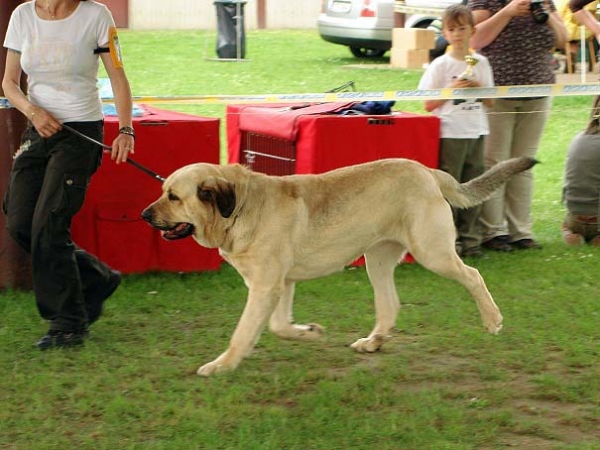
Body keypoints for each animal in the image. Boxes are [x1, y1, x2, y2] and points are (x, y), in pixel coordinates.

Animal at [143, 156, 536, 374]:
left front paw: (221, 365)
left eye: (173, 197)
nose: (145, 214)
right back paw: (373, 342)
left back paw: (492, 319)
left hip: (432, 252)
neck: (239, 207)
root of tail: (428, 171)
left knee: (473, 276)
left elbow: (243, 333)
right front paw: (310, 332)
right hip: (378, 260)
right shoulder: (281, 284)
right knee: (390, 305)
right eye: (164, 192)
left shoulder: (266, 287)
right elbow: (278, 326)